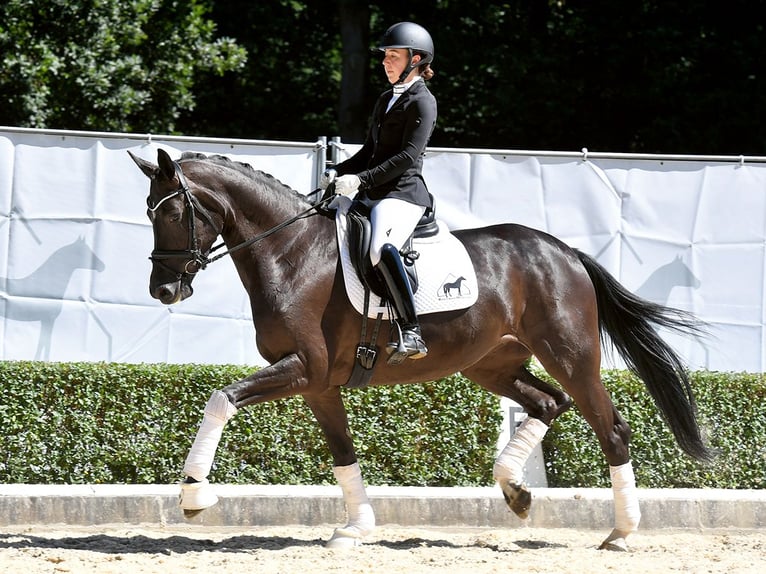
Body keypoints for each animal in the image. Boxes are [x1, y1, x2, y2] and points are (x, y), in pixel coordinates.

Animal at [129, 150, 712, 552]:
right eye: (148, 212)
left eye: (173, 213)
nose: (163, 290)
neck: (291, 253)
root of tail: (563, 251)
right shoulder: (318, 383)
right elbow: (342, 452)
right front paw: (355, 528)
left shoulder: (304, 369)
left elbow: (221, 399)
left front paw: (194, 495)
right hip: (491, 363)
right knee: (549, 403)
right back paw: (516, 492)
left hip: (570, 355)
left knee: (611, 428)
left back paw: (621, 531)